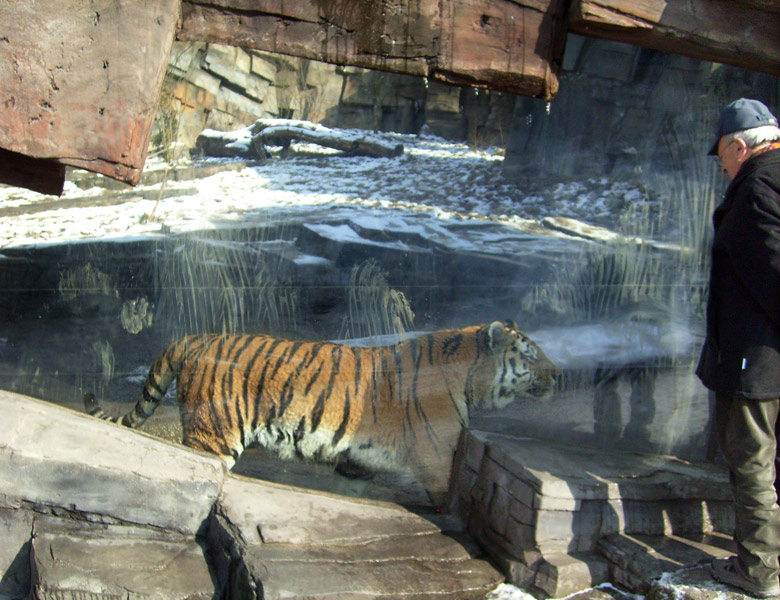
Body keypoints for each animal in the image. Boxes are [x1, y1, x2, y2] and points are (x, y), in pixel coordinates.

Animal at [85, 322, 556, 504]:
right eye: (530, 355)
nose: (560, 374)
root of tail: (194, 338)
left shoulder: (357, 465)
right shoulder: (438, 463)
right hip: (212, 436)